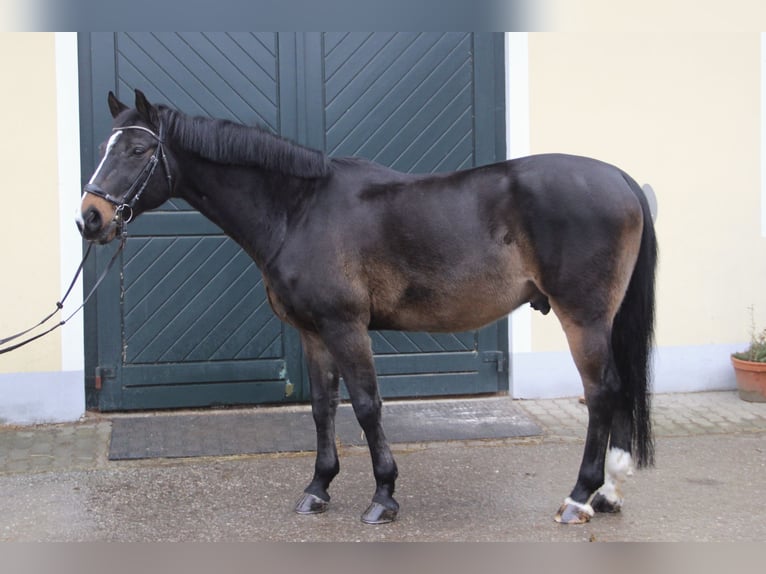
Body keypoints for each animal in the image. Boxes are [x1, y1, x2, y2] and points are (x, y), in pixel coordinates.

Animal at [81, 90, 664, 528]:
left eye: (139, 149)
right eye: (107, 146)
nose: (90, 218)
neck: (300, 210)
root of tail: (621, 179)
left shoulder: (346, 327)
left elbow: (366, 407)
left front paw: (383, 495)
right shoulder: (313, 333)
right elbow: (322, 408)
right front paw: (318, 488)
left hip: (582, 318)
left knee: (601, 392)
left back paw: (580, 495)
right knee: (616, 390)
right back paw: (607, 493)